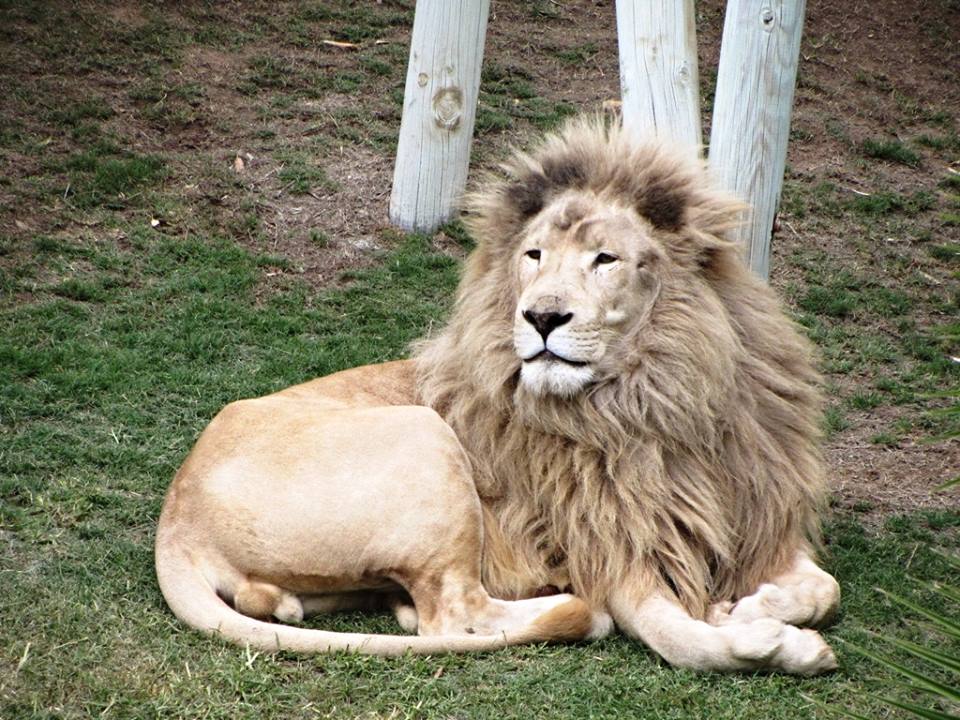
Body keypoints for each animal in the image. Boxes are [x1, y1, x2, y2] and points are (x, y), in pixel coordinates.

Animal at [156, 117, 839, 673]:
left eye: (606, 259)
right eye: (534, 255)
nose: (541, 317)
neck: (658, 397)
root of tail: (174, 516)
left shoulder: (756, 516)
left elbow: (824, 589)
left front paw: (752, 605)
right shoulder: (611, 548)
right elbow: (684, 643)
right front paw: (771, 642)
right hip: (425, 439)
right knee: (454, 614)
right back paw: (570, 610)